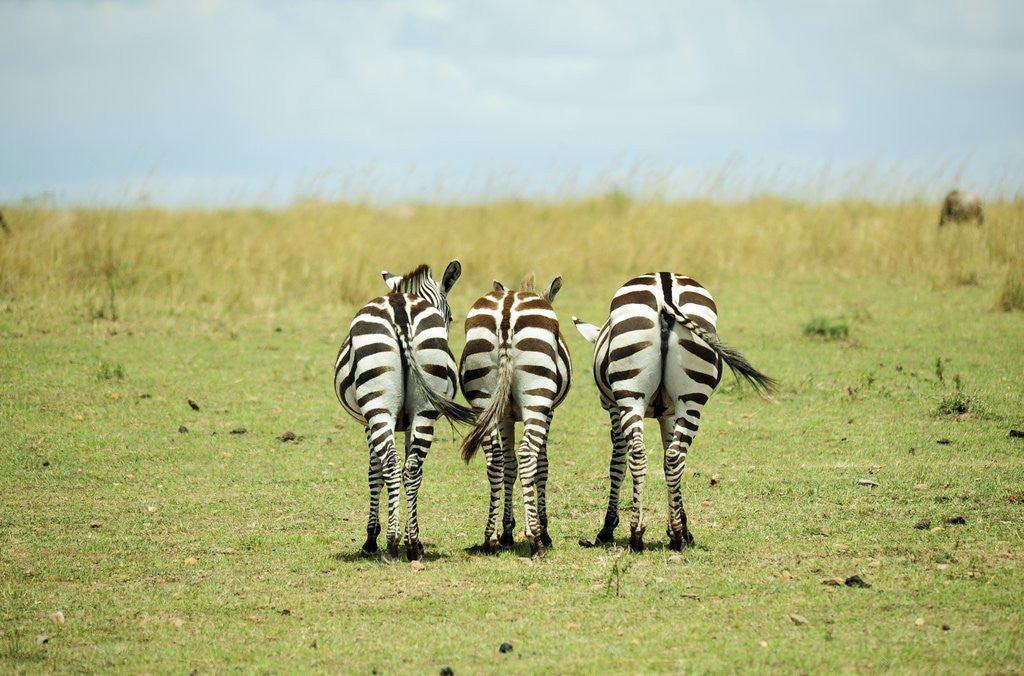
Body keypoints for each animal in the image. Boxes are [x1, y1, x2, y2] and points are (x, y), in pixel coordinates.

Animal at [333, 260, 475, 562]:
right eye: (451, 318)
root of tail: (400, 308)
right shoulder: (409, 421)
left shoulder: (368, 423)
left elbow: (374, 473)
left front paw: (371, 539)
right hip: (424, 408)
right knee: (412, 468)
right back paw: (412, 544)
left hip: (378, 407)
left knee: (390, 464)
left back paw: (392, 543)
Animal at [459, 273, 572, 556]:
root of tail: (507, 309)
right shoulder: (549, 411)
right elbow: (542, 465)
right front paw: (544, 530)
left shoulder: (504, 416)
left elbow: (509, 465)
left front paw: (507, 531)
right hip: (537, 396)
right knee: (528, 455)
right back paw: (537, 539)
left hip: (483, 398)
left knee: (495, 460)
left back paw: (489, 537)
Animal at [572, 273, 776, 552]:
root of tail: (664, 288)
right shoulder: (669, 413)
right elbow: (669, 458)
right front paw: (680, 526)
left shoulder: (614, 407)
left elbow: (617, 463)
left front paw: (607, 529)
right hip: (691, 398)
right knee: (674, 456)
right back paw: (677, 535)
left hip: (630, 395)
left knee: (638, 454)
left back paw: (636, 533)